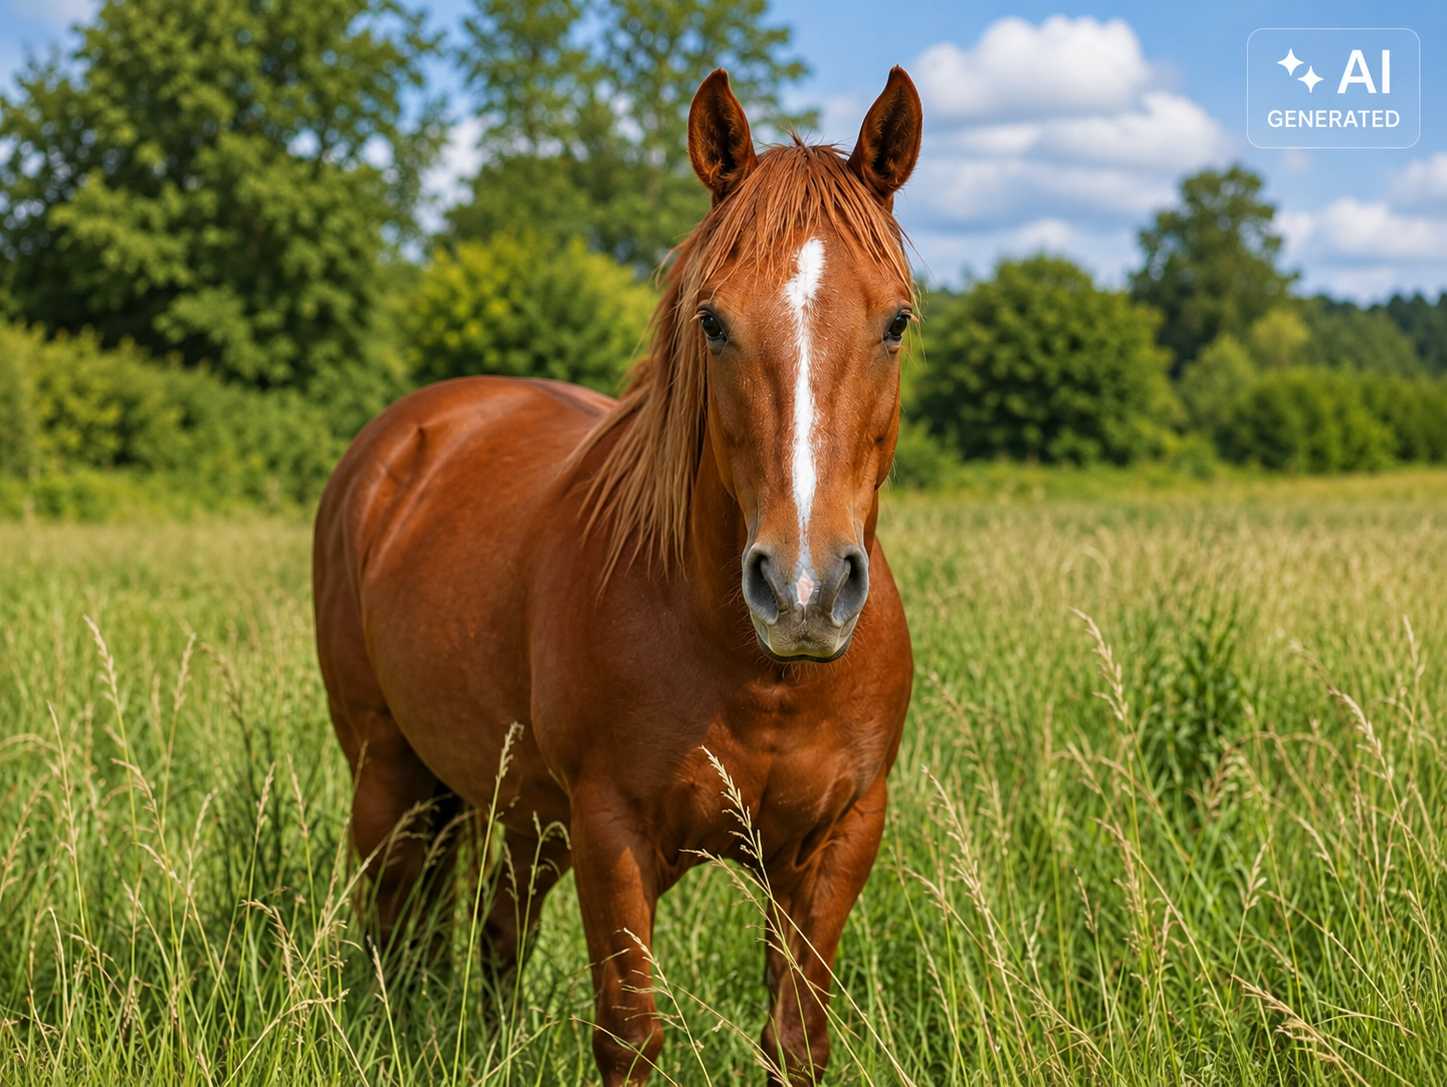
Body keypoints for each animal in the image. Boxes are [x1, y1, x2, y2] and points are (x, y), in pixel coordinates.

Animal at [312, 66, 922, 1086]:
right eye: (712, 320)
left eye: (897, 321)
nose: (802, 593)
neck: (757, 668)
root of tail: (404, 437)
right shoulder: (611, 831)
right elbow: (628, 1035)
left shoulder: (836, 839)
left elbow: (795, 1039)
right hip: (387, 772)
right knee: (391, 925)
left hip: (523, 815)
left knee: (496, 934)